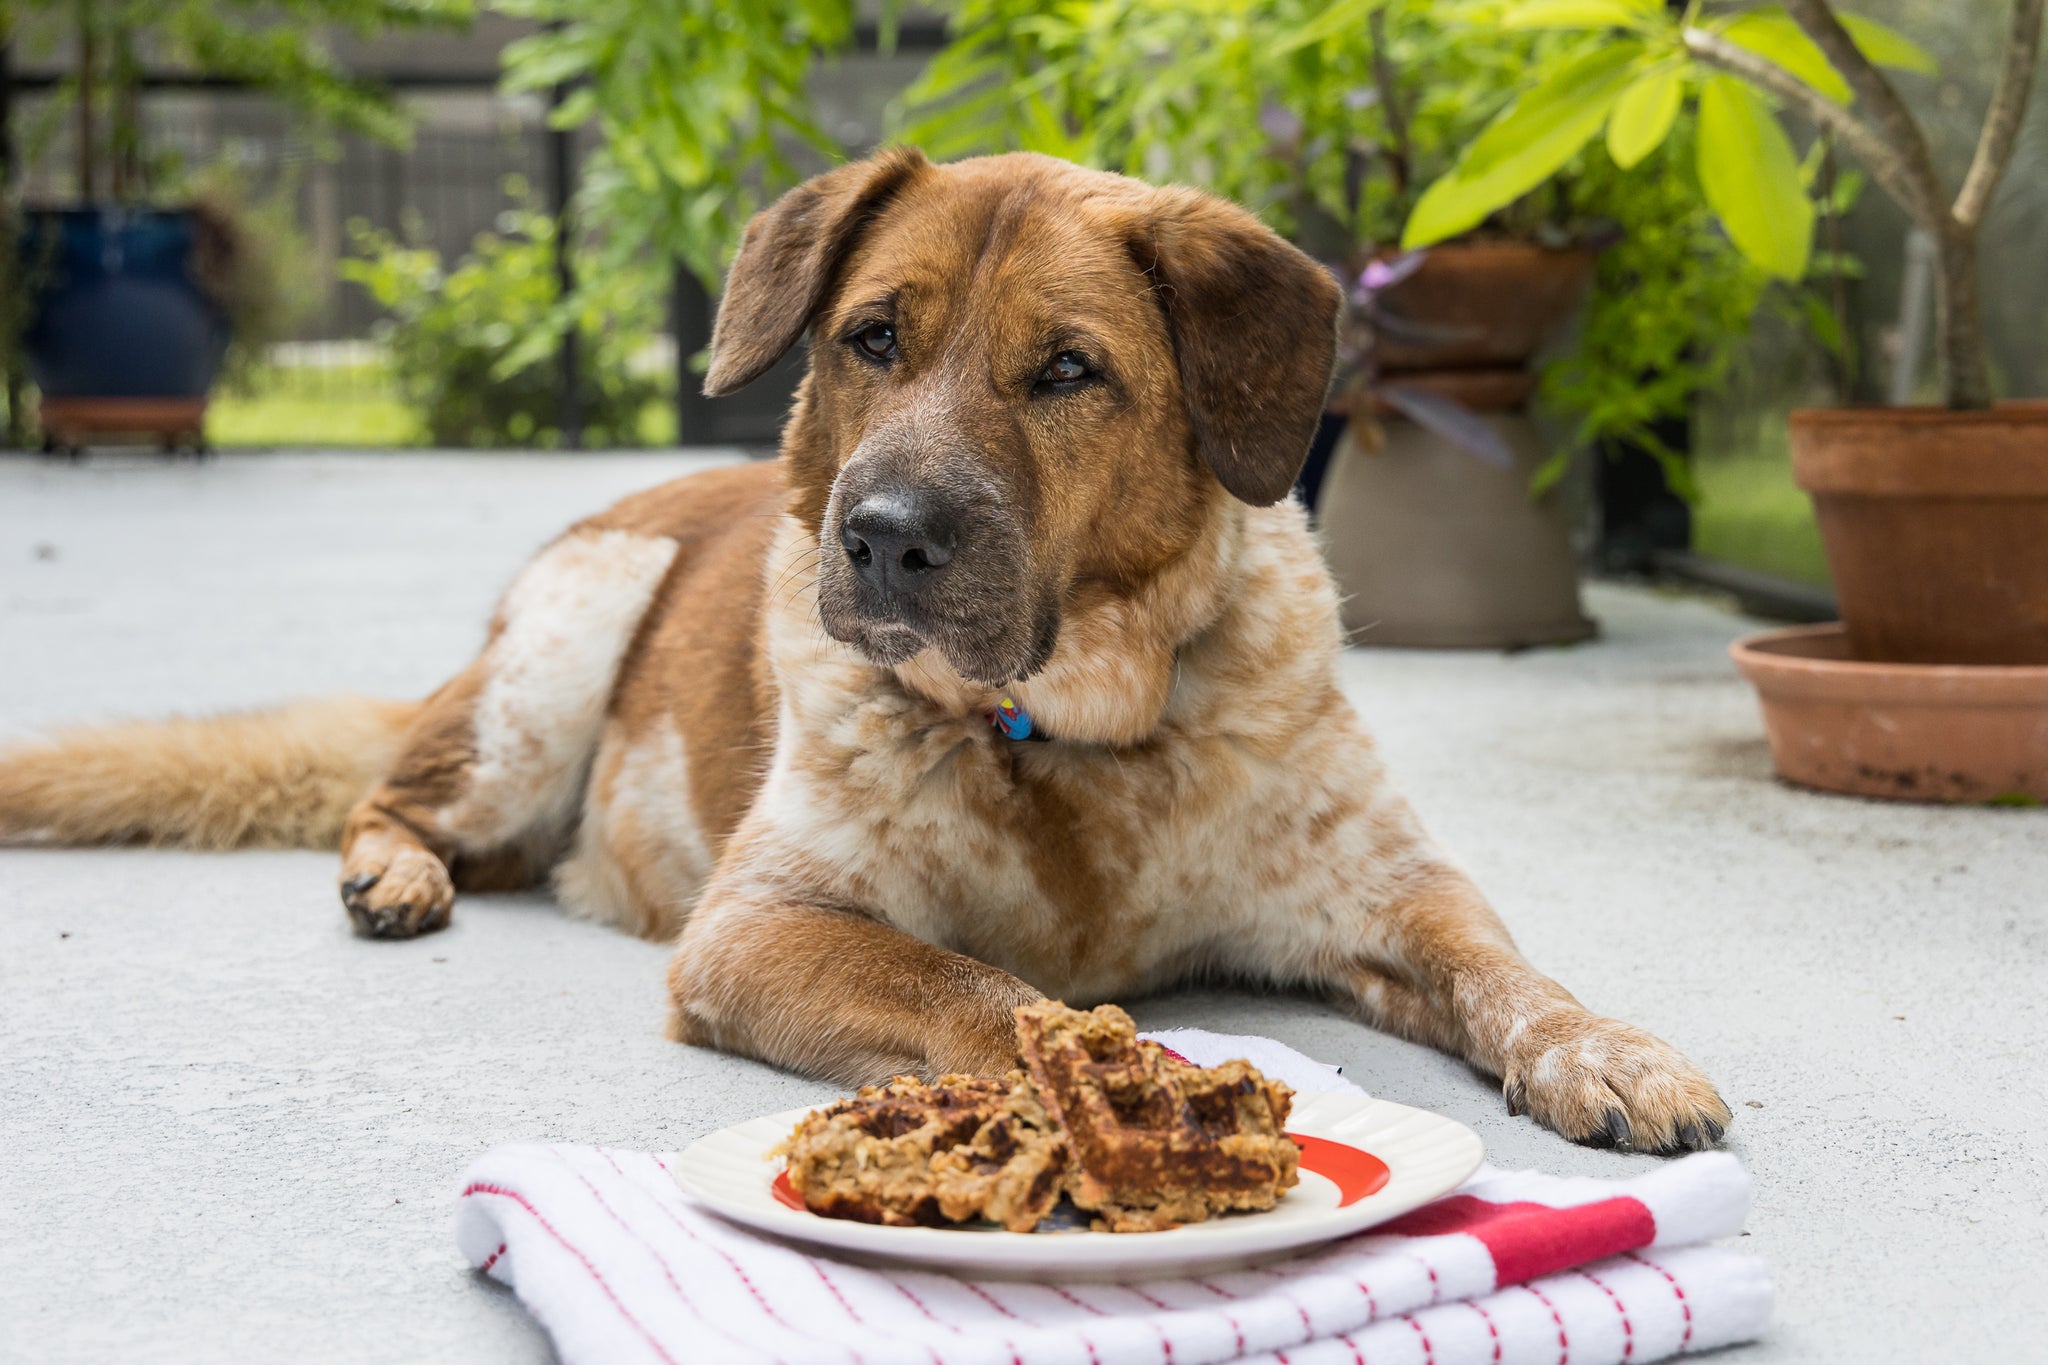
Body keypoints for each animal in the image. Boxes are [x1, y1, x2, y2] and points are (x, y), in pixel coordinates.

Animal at [0, 149, 1728, 1154]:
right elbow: (977, 983)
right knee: (398, 798)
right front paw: (1098, 1057)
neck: (1065, 732)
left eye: (1069, 371)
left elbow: (1508, 970)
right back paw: (395, 872)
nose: (884, 536)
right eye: (871, 338)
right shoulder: (758, 925)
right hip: (551, 665)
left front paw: (1608, 1049)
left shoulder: (1389, 895)